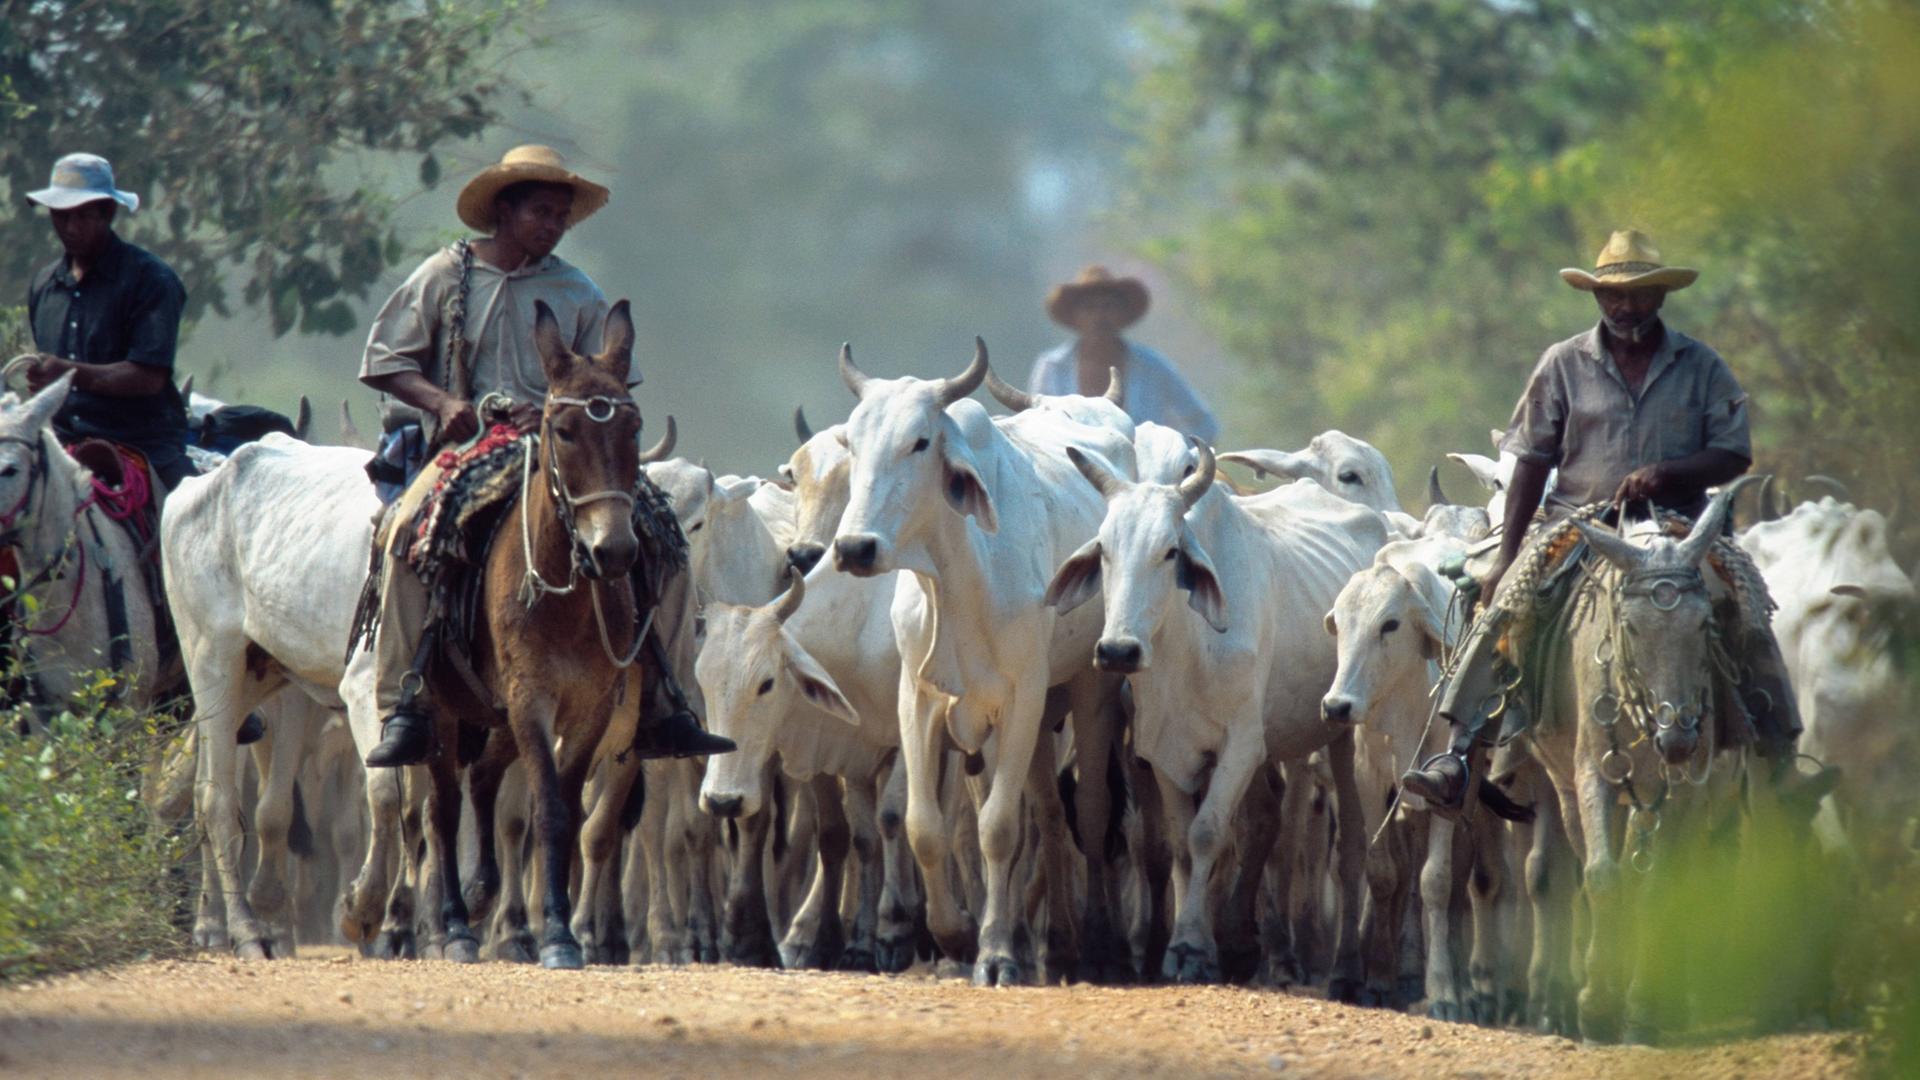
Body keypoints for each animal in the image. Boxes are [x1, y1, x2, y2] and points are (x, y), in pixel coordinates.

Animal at [1052, 434, 1397, 983]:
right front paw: (1187, 942)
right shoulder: (1163, 749)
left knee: (1347, 849)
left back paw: (1344, 967)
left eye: (1170, 551)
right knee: (1265, 820)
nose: (1118, 651)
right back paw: (1243, 943)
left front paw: (1192, 948)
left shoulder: (1241, 744)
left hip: (1342, 732)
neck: (1187, 646)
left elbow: (1207, 834)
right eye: (1104, 549)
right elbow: (1180, 844)